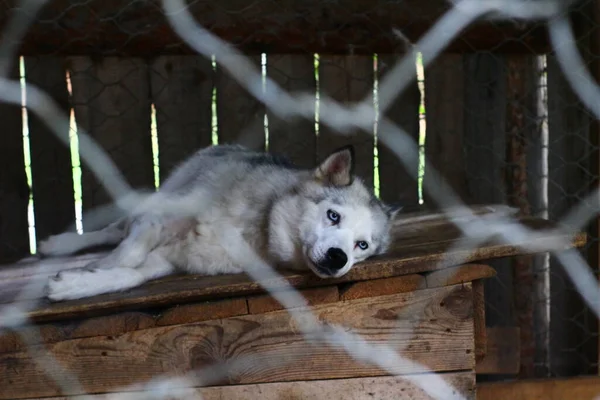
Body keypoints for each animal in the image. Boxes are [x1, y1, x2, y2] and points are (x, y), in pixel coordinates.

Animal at [39, 144, 400, 300]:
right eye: (333, 215)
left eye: (362, 245)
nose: (339, 258)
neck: (256, 227)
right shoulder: (156, 219)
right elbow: (127, 255)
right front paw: (90, 270)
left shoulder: (170, 260)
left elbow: (131, 275)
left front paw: (77, 283)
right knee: (113, 229)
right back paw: (56, 244)